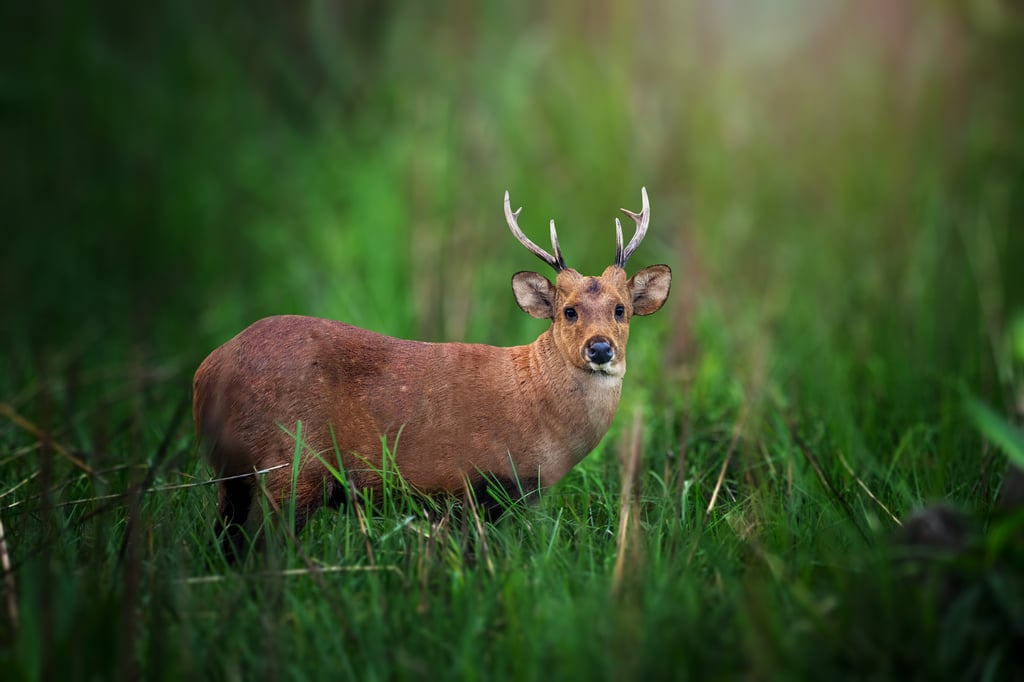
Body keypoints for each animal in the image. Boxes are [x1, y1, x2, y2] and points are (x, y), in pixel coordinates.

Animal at [193, 188, 672, 558]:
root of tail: (206, 372)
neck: (534, 405)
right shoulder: (471, 485)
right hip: (291, 463)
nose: (600, 348)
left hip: (233, 474)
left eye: (621, 309)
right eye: (568, 311)